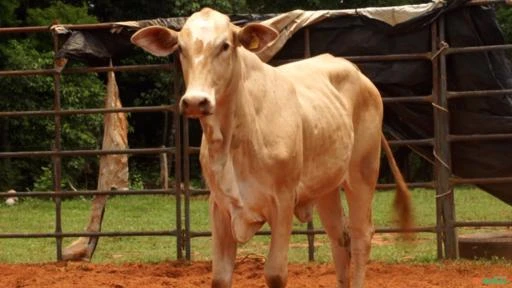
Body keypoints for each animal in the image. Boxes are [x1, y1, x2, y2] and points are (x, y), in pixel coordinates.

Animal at [131, 7, 412, 288]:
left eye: (225, 45)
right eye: (180, 48)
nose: (195, 101)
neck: (233, 139)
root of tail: (356, 72)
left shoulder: (283, 202)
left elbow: (275, 273)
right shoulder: (219, 206)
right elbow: (220, 277)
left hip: (362, 173)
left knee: (361, 236)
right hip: (327, 187)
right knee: (339, 237)